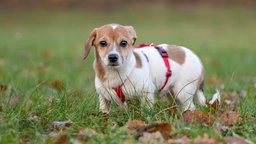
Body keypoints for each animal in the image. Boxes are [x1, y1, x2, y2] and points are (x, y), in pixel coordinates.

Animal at [84, 23, 218, 113]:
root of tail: (198, 61)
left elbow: (146, 110)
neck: (115, 73)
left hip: (183, 92)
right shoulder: (103, 98)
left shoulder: (146, 92)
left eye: (123, 43)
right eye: (102, 43)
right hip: (172, 93)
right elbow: (104, 111)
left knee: (190, 107)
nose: (113, 57)